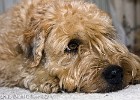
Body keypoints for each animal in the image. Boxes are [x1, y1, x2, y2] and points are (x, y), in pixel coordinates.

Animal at [0, 0, 140, 93]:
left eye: (107, 36)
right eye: (72, 45)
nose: (115, 72)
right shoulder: (6, 62)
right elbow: (19, 67)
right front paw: (45, 78)